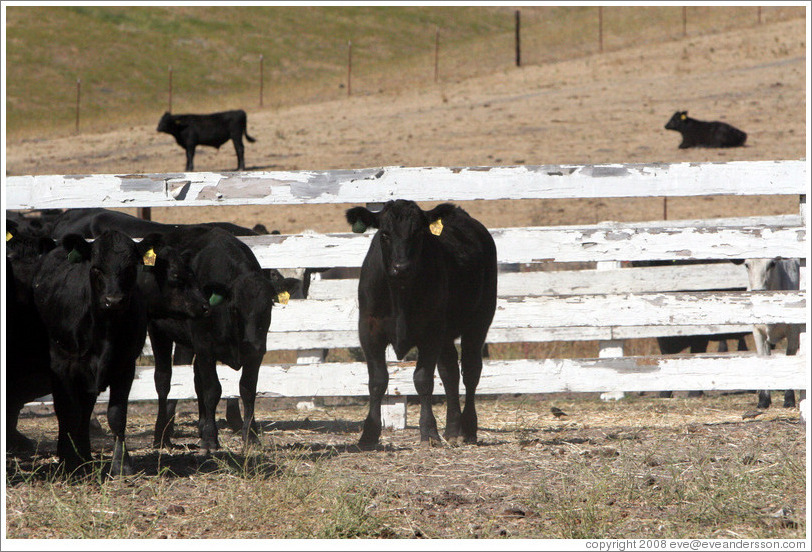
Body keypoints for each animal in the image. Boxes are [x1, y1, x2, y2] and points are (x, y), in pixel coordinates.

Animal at [346, 199, 498, 448]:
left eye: (418, 233)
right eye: (384, 234)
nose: (401, 267)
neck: (400, 294)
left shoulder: (431, 332)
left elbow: (423, 379)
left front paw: (429, 432)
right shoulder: (369, 331)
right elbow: (377, 380)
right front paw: (368, 435)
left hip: (479, 320)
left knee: (471, 371)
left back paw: (468, 429)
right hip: (446, 334)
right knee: (450, 373)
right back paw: (453, 430)